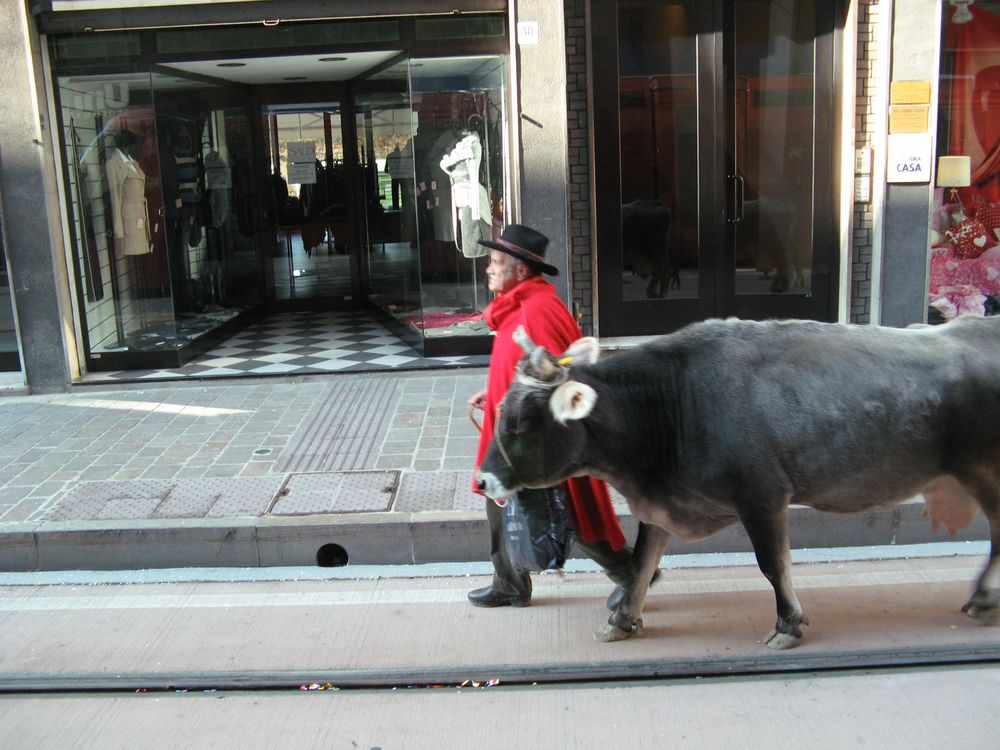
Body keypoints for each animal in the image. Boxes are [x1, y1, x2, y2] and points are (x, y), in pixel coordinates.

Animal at [476, 318, 1000, 652]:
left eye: (521, 422)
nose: (481, 479)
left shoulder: (762, 497)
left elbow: (774, 565)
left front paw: (788, 624)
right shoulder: (661, 502)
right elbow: (642, 564)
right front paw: (622, 620)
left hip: (985, 471)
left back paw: (983, 599)